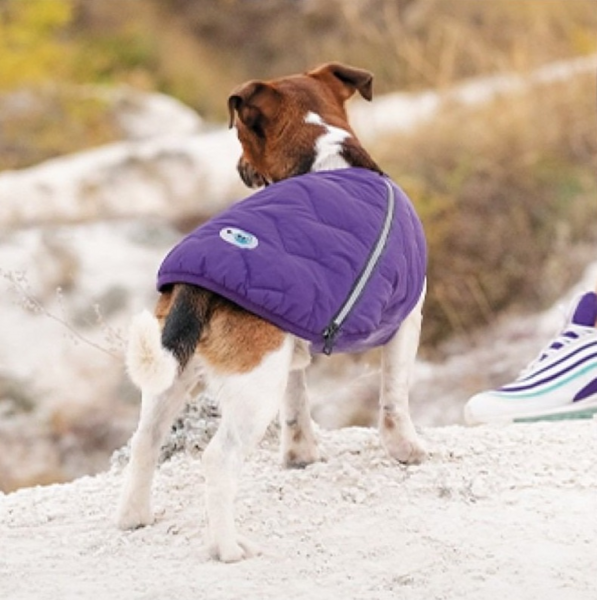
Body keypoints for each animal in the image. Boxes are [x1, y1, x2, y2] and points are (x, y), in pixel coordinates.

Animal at [117, 62, 428, 562]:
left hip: (175, 374)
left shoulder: (294, 339)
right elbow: (394, 398)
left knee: (145, 443)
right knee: (219, 459)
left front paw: (301, 454)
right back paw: (227, 547)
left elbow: (297, 404)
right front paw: (406, 449)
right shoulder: (405, 322)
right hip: (253, 386)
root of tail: (196, 286)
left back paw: (134, 517)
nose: (238, 169)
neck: (324, 155)